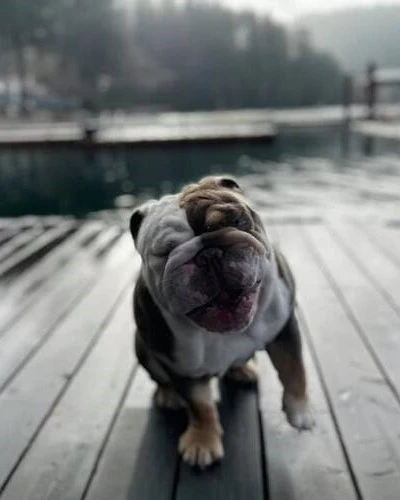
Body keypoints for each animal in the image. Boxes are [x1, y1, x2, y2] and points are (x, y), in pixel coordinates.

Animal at [130, 176, 314, 468]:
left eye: (236, 221)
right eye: (164, 252)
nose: (209, 253)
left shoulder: (284, 328)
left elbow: (294, 368)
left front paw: (299, 411)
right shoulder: (183, 366)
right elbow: (200, 406)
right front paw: (202, 442)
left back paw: (243, 371)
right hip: (144, 349)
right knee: (160, 377)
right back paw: (169, 395)